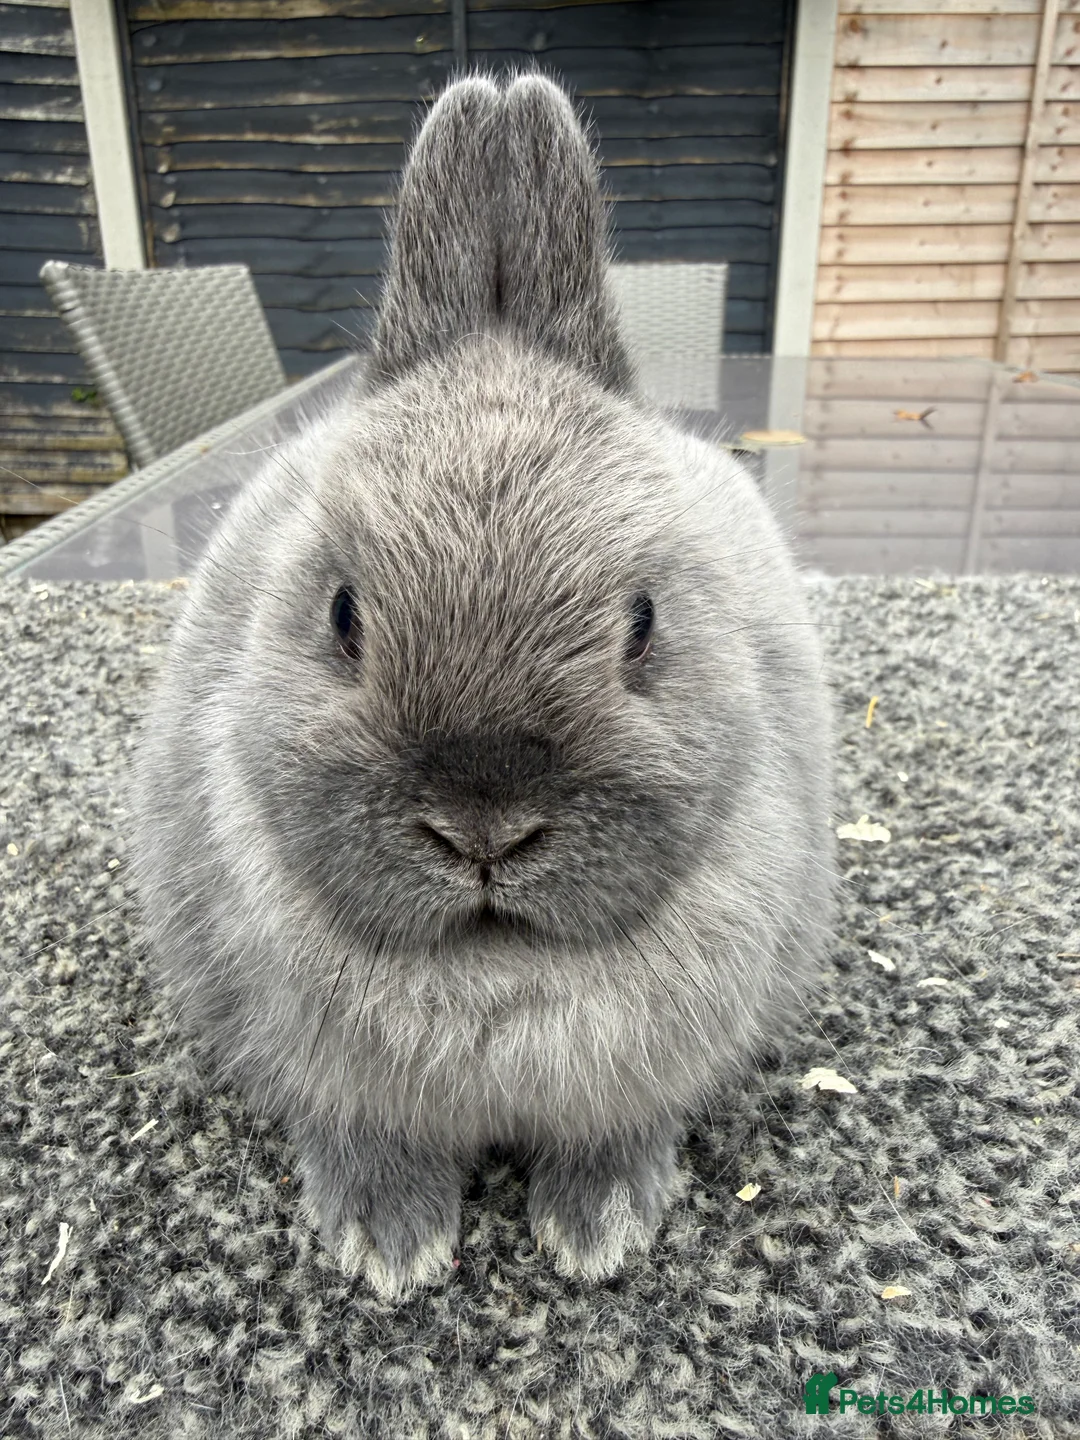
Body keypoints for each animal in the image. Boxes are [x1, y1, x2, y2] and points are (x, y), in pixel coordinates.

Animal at [129, 72, 836, 1300]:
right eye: (343, 616)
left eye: (644, 623)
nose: (484, 831)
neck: (494, 970)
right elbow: (368, 1137)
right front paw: (389, 1245)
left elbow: (616, 1131)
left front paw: (599, 1229)